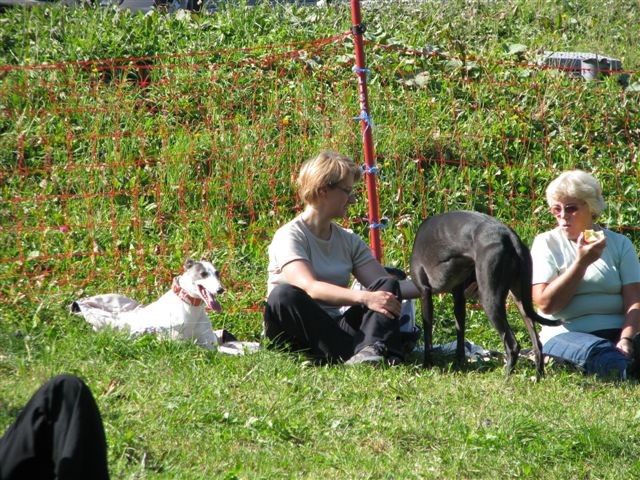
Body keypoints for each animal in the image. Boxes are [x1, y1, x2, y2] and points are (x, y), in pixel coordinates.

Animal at [70, 258, 258, 352]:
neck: (191, 309)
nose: (221, 289)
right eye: (203, 274)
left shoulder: (210, 344)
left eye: (217, 274)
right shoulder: (182, 344)